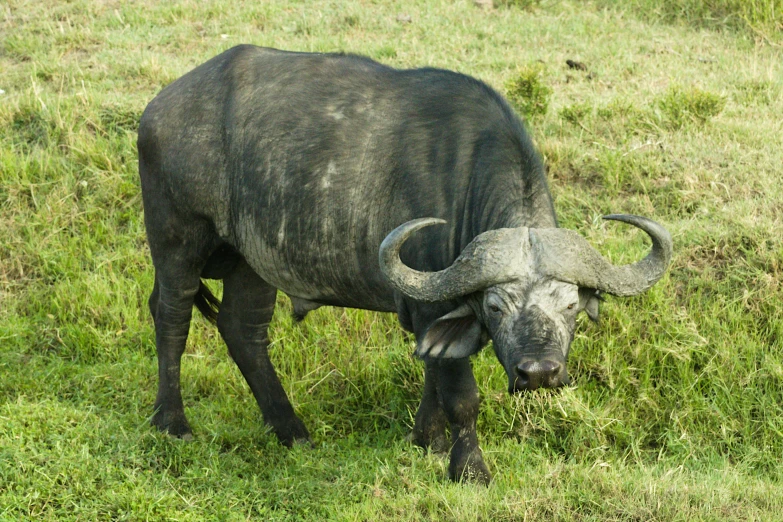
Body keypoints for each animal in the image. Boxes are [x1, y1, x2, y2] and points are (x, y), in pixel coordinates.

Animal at [138, 46, 672, 482]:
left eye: (570, 306)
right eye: (495, 307)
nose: (539, 372)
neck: (463, 179)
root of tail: (159, 108)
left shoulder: (433, 302)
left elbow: (434, 373)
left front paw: (426, 441)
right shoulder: (432, 299)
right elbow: (461, 395)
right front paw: (468, 469)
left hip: (251, 261)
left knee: (242, 331)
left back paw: (292, 430)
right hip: (176, 241)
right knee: (171, 318)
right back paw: (172, 423)